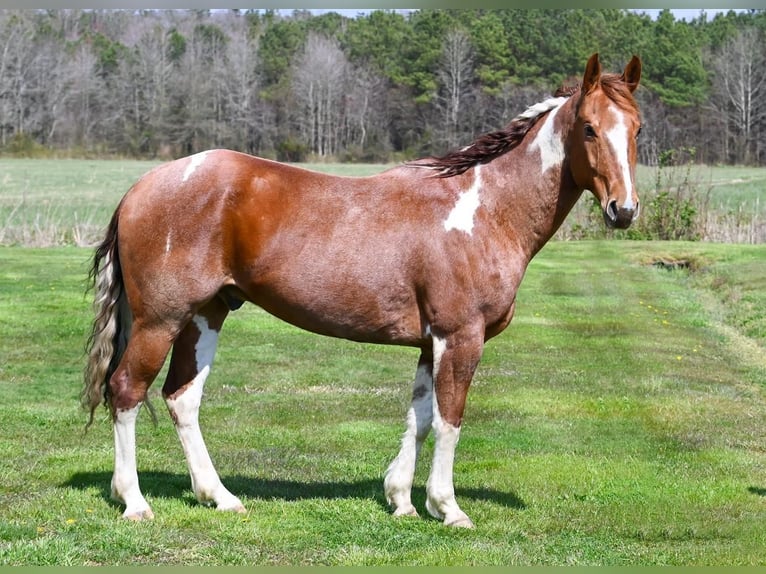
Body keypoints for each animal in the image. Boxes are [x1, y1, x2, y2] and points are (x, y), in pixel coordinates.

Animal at [85, 54, 640, 532]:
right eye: (589, 128)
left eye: (636, 129)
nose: (624, 210)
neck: (485, 209)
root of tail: (141, 187)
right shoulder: (460, 337)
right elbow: (450, 419)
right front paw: (447, 507)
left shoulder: (430, 342)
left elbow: (420, 417)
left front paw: (402, 500)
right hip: (161, 320)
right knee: (127, 391)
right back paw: (134, 501)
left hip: (205, 315)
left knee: (182, 398)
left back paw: (220, 497)